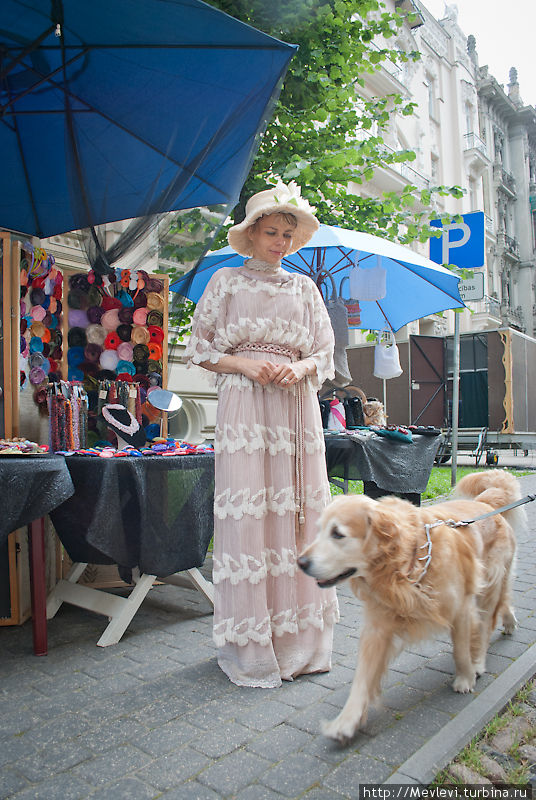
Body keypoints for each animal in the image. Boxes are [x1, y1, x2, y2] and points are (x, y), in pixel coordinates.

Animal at [296, 468, 520, 744]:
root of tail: (485, 503)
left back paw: (478, 662)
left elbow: (460, 650)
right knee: (503, 604)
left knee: (486, 624)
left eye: (338, 534)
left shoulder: (461, 607)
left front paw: (465, 677)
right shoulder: (378, 626)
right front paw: (345, 722)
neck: (408, 562)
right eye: (319, 531)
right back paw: (509, 622)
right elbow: (362, 678)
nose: (301, 562)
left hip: (488, 586)